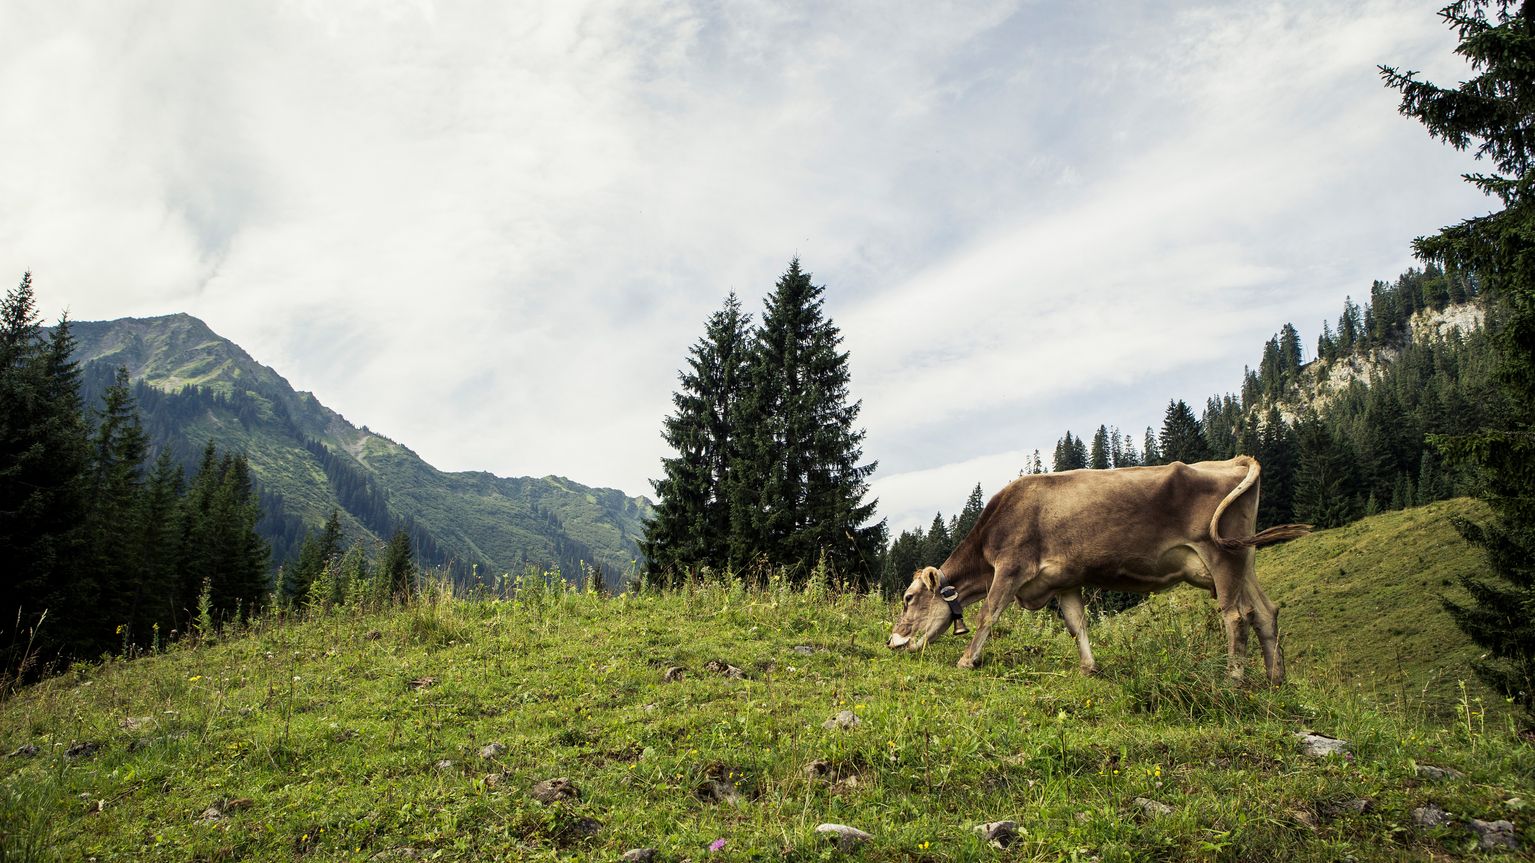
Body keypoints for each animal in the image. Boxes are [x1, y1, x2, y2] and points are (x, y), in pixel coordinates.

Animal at [886, 456, 1310, 684]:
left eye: (908, 598)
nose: (892, 641)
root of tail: (1233, 460)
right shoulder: (1064, 580)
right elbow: (1077, 625)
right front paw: (1089, 667)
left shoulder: (1010, 566)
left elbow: (988, 614)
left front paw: (967, 659)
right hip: (1242, 558)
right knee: (1265, 612)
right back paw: (1275, 679)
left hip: (1219, 555)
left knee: (1236, 616)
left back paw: (1233, 679)